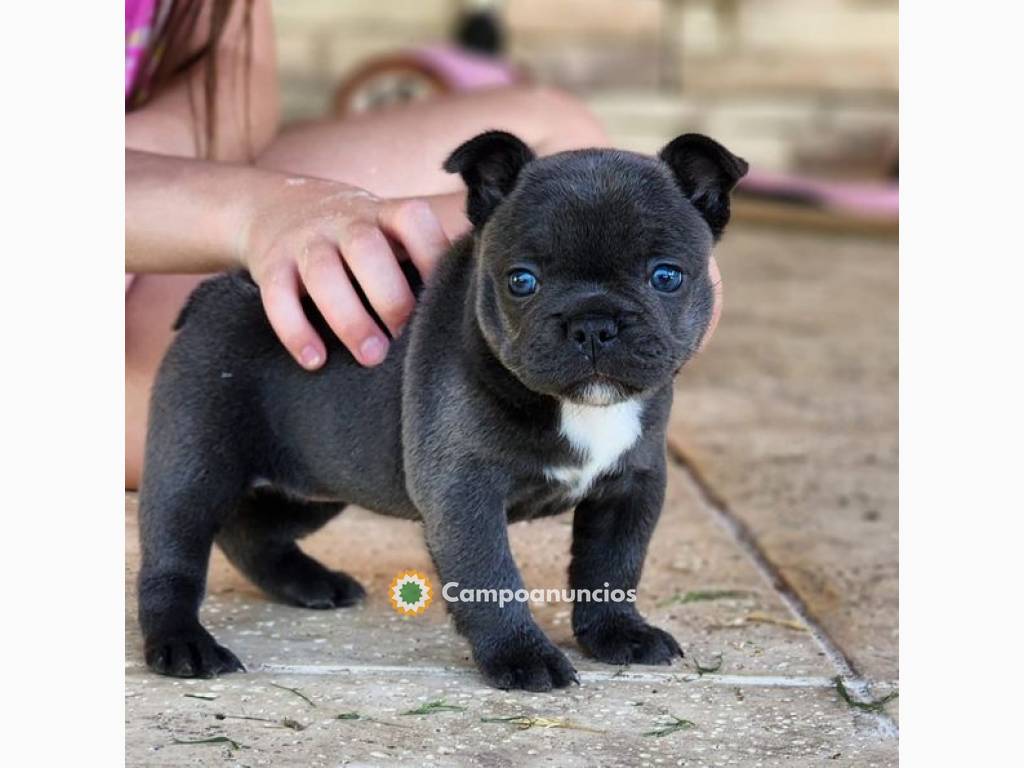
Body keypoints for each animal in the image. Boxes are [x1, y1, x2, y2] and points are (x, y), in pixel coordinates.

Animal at [134, 129, 745, 688]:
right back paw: (182, 643)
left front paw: (618, 632)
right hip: (198, 461)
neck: (577, 409)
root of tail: (218, 291)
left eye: (666, 276)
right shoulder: (463, 490)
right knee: (175, 551)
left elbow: (613, 564)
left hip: (319, 477)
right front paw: (522, 657)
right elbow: (491, 575)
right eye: (521, 280)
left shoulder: (632, 485)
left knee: (251, 529)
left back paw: (309, 583)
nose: (592, 324)